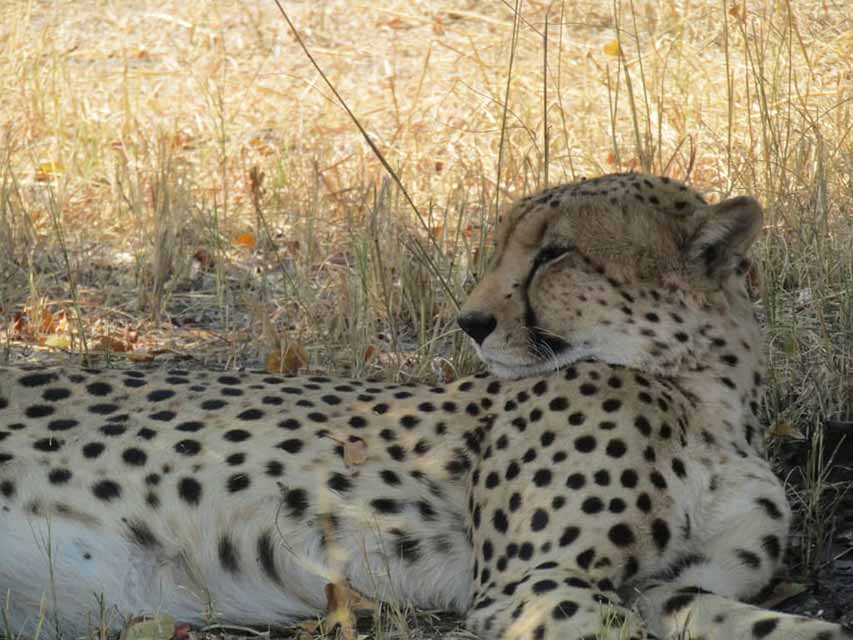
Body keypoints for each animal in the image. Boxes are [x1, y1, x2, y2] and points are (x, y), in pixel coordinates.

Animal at [1, 173, 850, 640]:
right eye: (508, 246)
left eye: (555, 254)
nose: (468, 322)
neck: (704, 396)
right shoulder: (529, 584)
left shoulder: (668, 588)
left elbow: (759, 621)